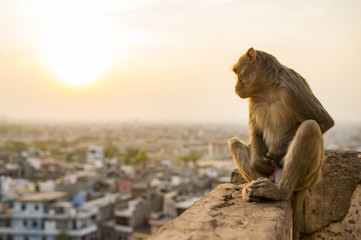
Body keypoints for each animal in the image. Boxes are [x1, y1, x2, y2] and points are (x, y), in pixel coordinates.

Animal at [229, 47, 334, 239]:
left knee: (309, 127)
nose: (235, 88)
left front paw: (275, 153)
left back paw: (280, 191)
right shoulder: (253, 99)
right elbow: (257, 133)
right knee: (233, 143)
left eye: (237, 73)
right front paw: (260, 163)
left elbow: (323, 121)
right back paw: (256, 187)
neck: (266, 90)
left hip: (309, 177)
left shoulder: (290, 86)